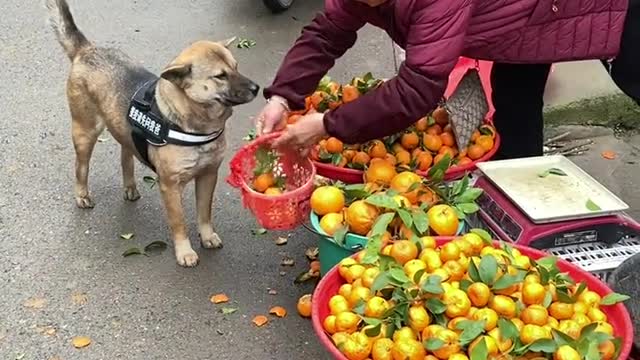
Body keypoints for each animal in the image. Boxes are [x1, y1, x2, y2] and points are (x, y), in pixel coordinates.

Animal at [46, 0, 258, 266]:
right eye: (220, 76)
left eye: (236, 67)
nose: (257, 88)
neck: (195, 122)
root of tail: (88, 49)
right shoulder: (170, 185)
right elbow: (179, 223)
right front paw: (184, 251)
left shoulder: (208, 175)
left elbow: (204, 213)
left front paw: (207, 236)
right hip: (85, 133)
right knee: (81, 167)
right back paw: (82, 195)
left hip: (123, 129)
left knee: (126, 155)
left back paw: (130, 187)